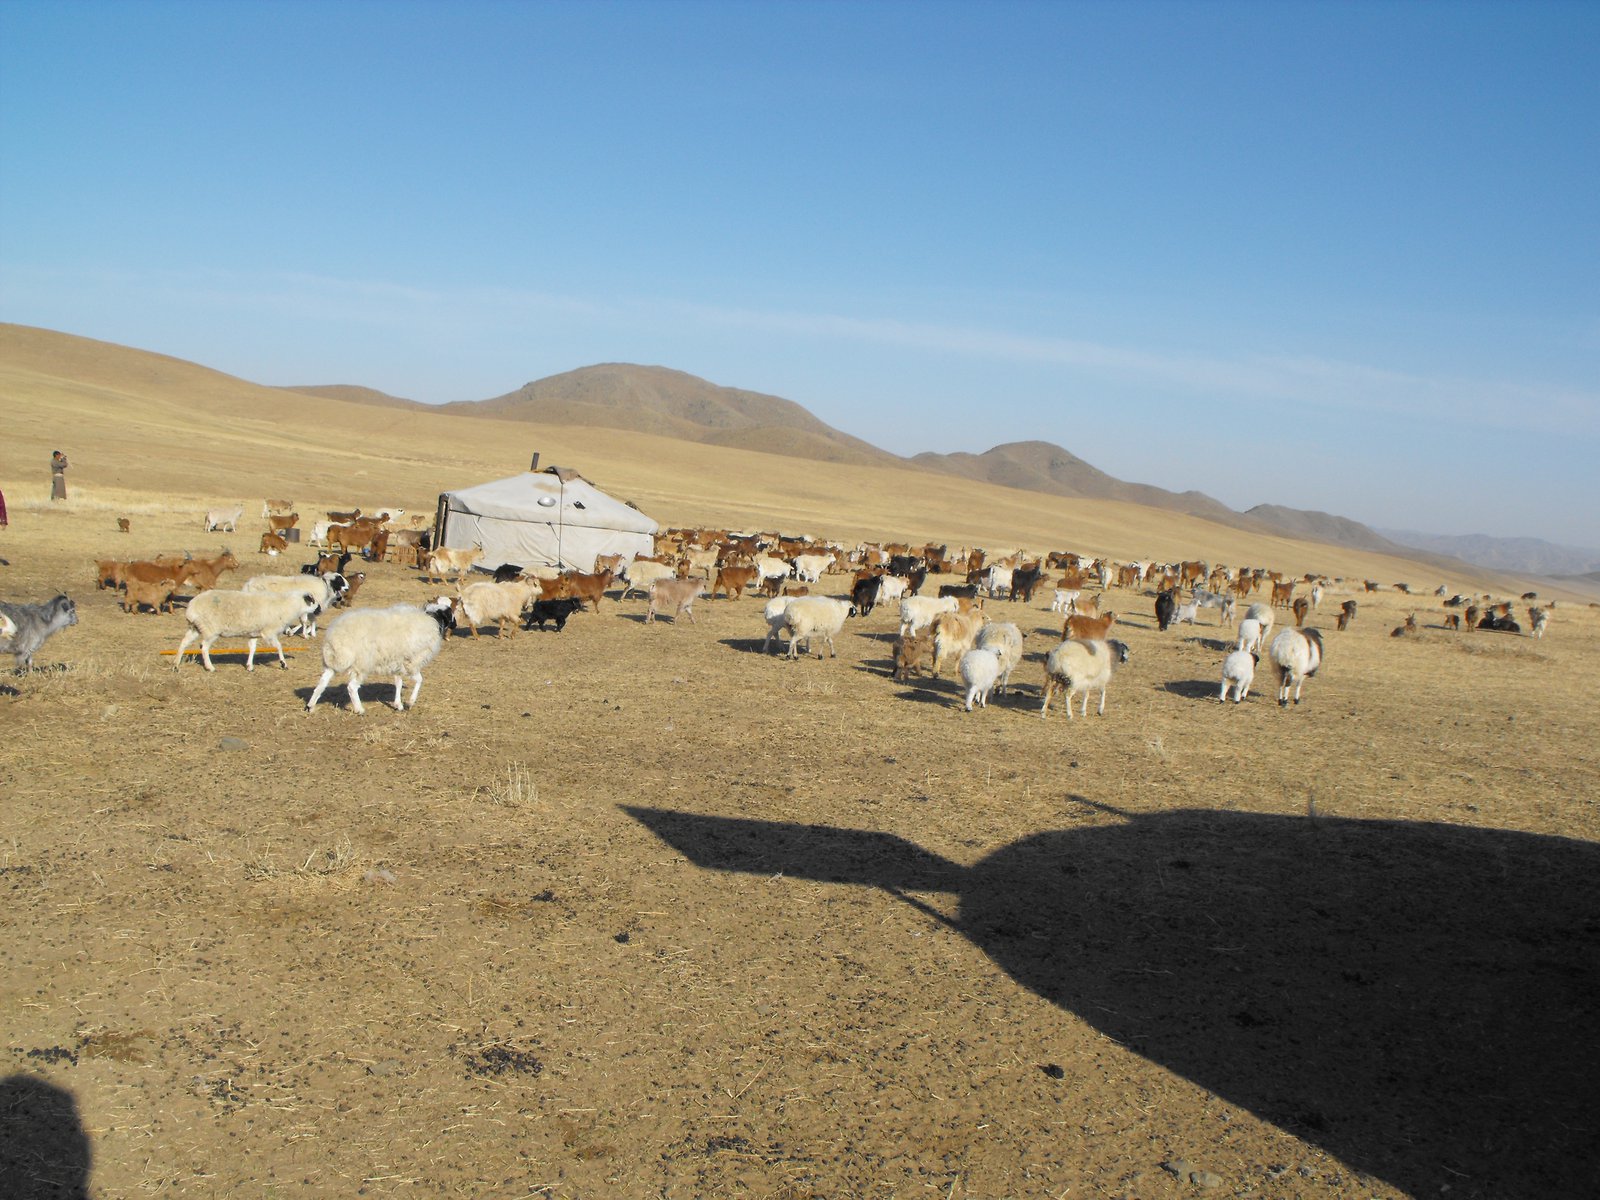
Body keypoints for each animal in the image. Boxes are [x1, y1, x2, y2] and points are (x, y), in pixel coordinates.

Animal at [176, 592, 318, 678]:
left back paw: (176, 665)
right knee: (204, 647)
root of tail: (191, 609)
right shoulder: (269, 632)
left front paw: (250, 666)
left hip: (195, 628)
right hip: (210, 630)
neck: (287, 607)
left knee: (183, 643)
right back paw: (210, 667)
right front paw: (283, 664)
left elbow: (252, 648)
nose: (318, 611)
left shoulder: (253, 634)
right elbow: (279, 646)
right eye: (313, 601)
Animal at [304, 601, 451, 713]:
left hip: (331, 663)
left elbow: (398, 683)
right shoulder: (412, 662)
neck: (432, 618)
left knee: (322, 683)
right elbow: (419, 680)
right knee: (352, 687)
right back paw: (359, 710)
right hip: (361, 664)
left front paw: (398, 705)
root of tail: (333, 638)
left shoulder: (398, 661)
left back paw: (310, 706)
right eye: (448, 614)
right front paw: (410, 702)